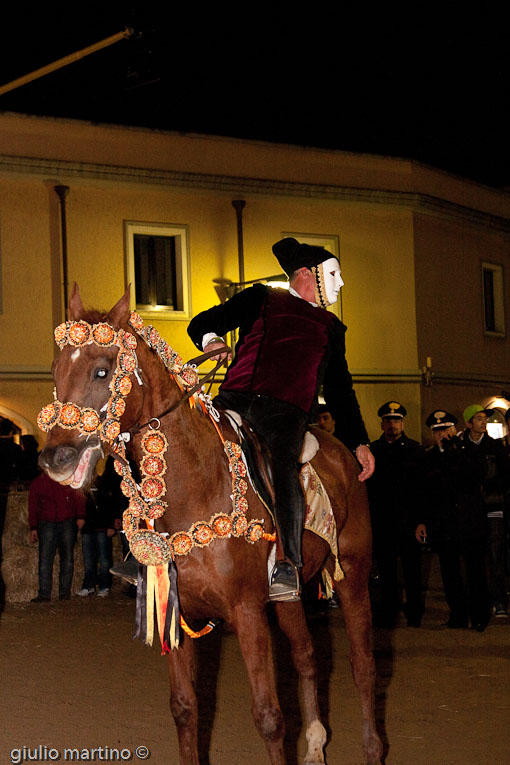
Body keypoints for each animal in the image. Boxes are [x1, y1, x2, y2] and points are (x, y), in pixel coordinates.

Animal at [38, 286, 382, 764]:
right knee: (308, 656)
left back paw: (373, 748)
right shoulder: (174, 608)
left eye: (102, 370)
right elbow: (185, 709)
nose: (57, 459)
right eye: (55, 371)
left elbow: (269, 717)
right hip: (289, 596)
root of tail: (343, 454)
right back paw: (315, 745)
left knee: (363, 666)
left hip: (353, 576)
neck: (198, 486)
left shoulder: (248, 612)